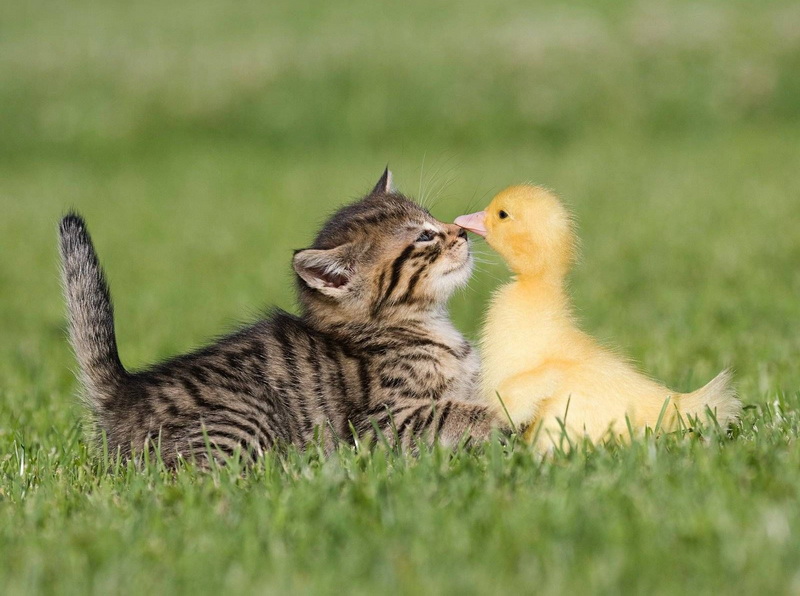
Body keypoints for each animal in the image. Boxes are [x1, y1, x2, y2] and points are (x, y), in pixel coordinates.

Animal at [59, 169, 504, 466]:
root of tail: (125, 393)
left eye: (435, 218)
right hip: (246, 417)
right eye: (425, 236)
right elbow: (461, 411)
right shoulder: (385, 422)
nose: (462, 232)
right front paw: (510, 420)